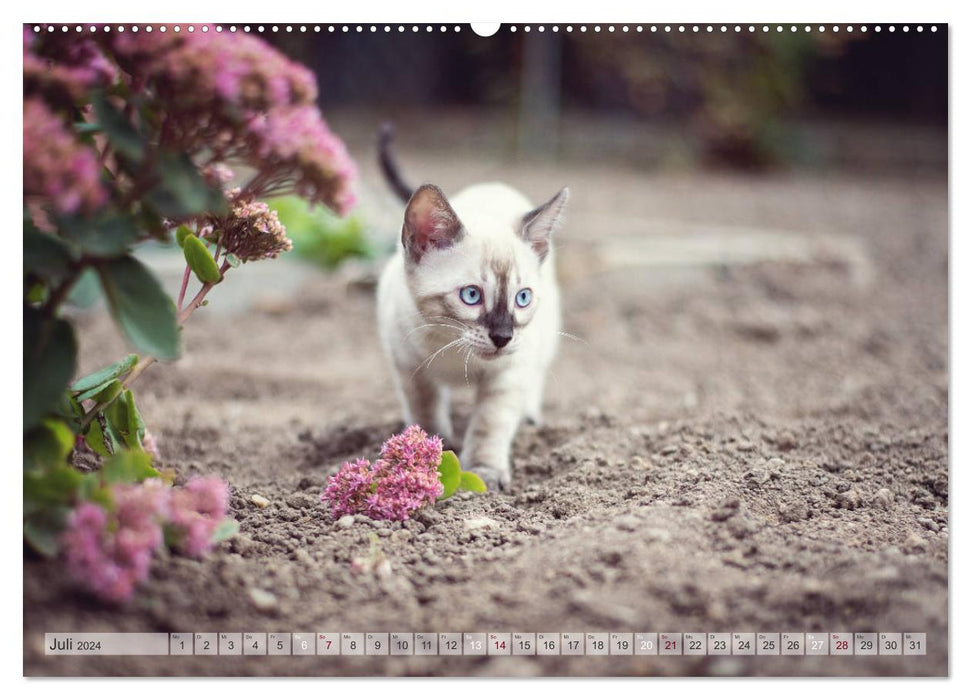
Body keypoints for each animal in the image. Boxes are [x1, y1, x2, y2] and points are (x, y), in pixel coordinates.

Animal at [374, 126, 568, 490]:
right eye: (471, 295)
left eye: (522, 298)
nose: (503, 337)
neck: (451, 347)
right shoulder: (409, 367)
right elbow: (425, 414)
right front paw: (428, 454)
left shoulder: (508, 374)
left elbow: (489, 426)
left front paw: (483, 471)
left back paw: (530, 416)